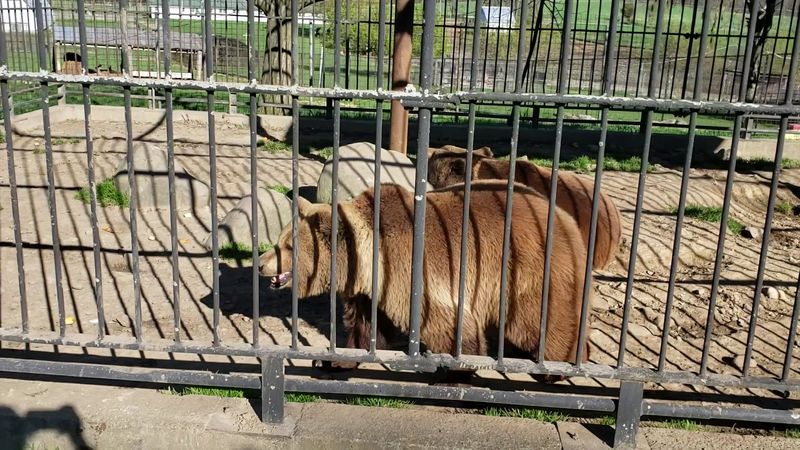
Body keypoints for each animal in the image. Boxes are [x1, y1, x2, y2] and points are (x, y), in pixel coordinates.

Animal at [258, 180, 592, 380]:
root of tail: (566, 219)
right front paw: (331, 361)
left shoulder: (409, 272)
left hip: (529, 270)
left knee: (543, 320)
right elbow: (364, 328)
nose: (261, 264)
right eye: (280, 240)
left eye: (288, 246)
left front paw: (456, 370)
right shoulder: (371, 292)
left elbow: (445, 321)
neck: (366, 262)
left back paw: (556, 369)